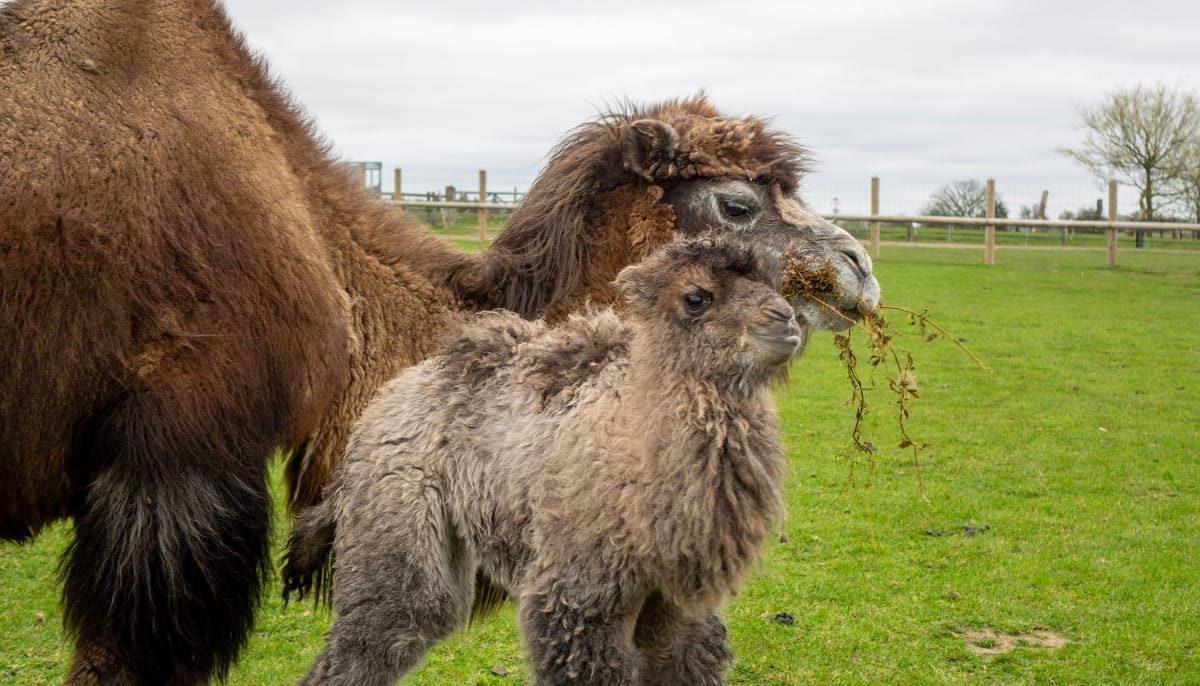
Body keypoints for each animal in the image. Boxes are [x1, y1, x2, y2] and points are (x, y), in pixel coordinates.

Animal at [284, 238, 798, 685]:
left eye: (775, 282)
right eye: (696, 298)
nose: (786, 321)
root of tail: (380, 404)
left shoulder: (677, 608)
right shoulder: (578, 595)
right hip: (395, 510)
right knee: (392, 620)